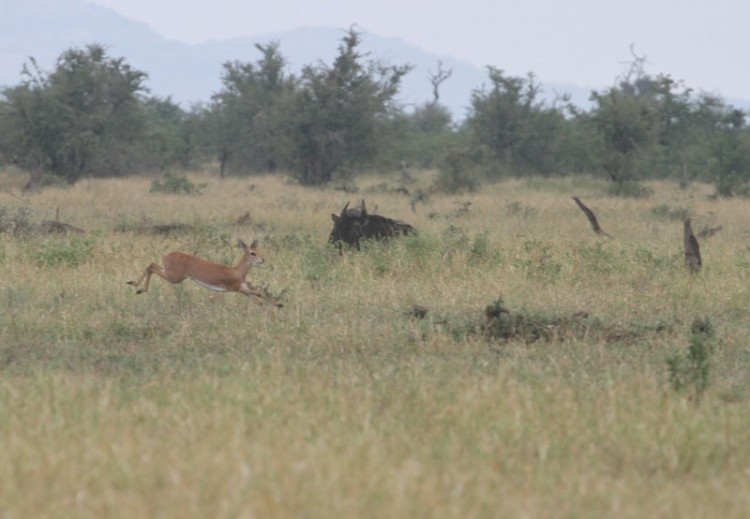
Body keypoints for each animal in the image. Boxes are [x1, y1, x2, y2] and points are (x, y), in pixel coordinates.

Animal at [129, 241, 282, 308]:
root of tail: (166, 255)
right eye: (252, 253)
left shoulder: (244, 290)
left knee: (151, 265)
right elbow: (259, 293)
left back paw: (134, 286)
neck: (237, 272)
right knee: (151, 267)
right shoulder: (238, 288)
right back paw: (138, 288)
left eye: (258, 251)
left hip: (170, 273)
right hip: (174, 278)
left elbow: (258, 300)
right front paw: (279, 304)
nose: (262, 260)